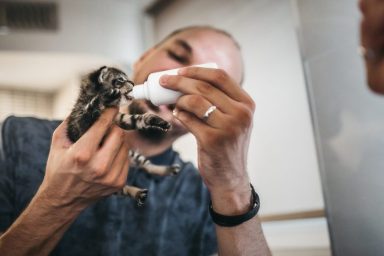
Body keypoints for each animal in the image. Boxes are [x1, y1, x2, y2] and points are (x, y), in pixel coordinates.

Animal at [67, 66, 180, 206]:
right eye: (120, 80)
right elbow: (89, 111)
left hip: (133, 155)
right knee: (124, 188)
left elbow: (137, 119)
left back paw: (168, 170)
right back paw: (137, 193)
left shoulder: (121, 118)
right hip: (109, 186)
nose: (132, 83)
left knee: (147, 166)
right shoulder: (79, 125)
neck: (105, 106)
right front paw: (105, 97)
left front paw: (156, 120)